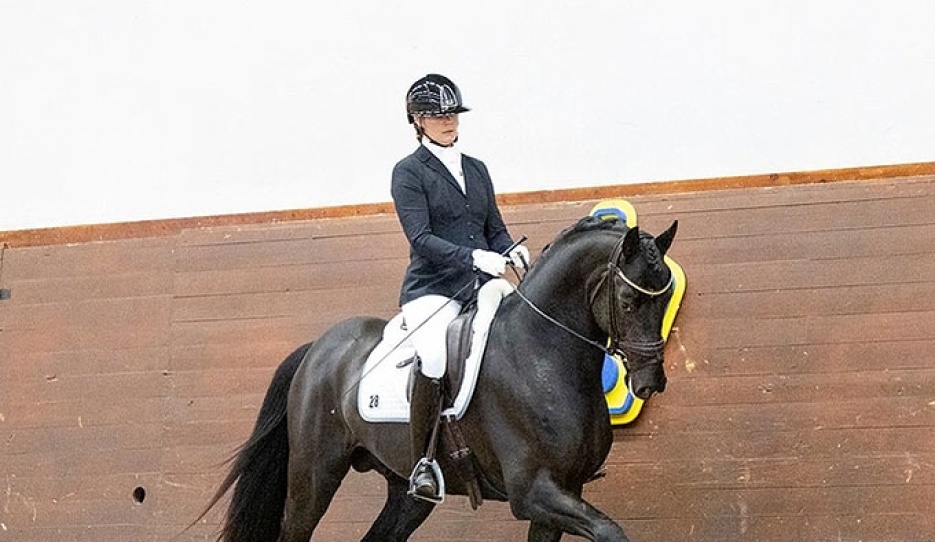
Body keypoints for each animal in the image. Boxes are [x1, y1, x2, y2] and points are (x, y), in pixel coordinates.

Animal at [199, 215, 679, 542]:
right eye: (629, 301)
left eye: (667, 295)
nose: (649, 382)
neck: (542, 353)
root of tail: (318, 348)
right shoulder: (534, 493)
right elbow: (612, 532)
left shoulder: (564, 491)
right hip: (314, 476)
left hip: (404, 492)